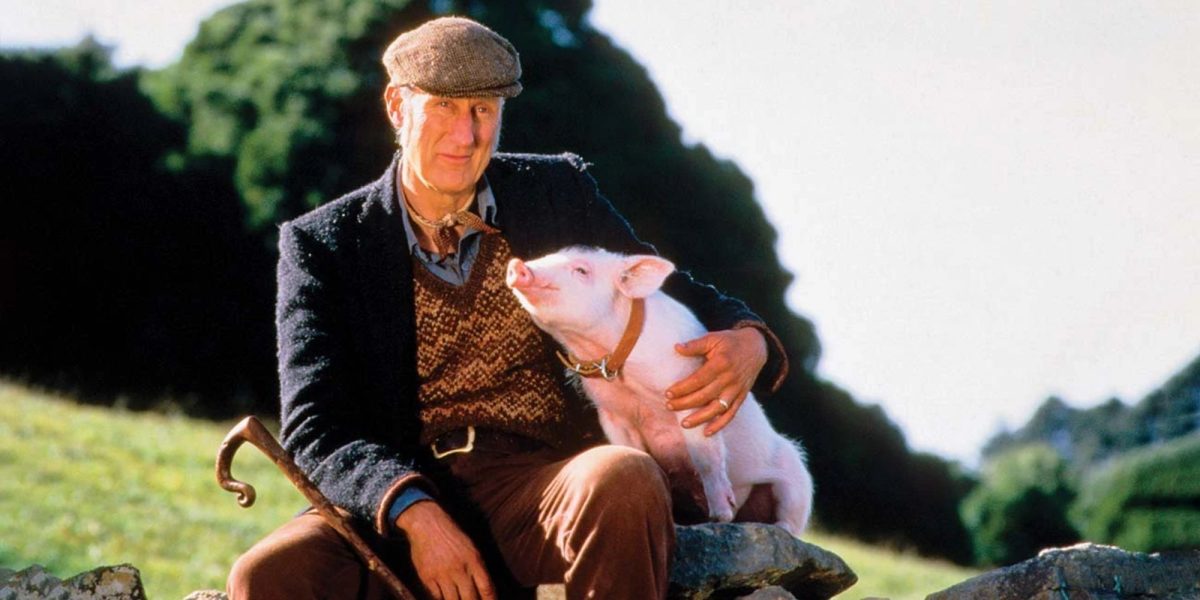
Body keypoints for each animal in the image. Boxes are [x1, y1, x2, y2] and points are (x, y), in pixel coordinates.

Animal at [506, 247, 813, 536]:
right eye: (548, 255)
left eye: (581, 270)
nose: (517, 265)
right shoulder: (612, 414)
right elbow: (631, 450)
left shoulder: (691, 395)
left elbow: (706, 457)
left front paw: (720, 516)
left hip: (797, 479)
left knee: (791, 514)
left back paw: (774, 528)